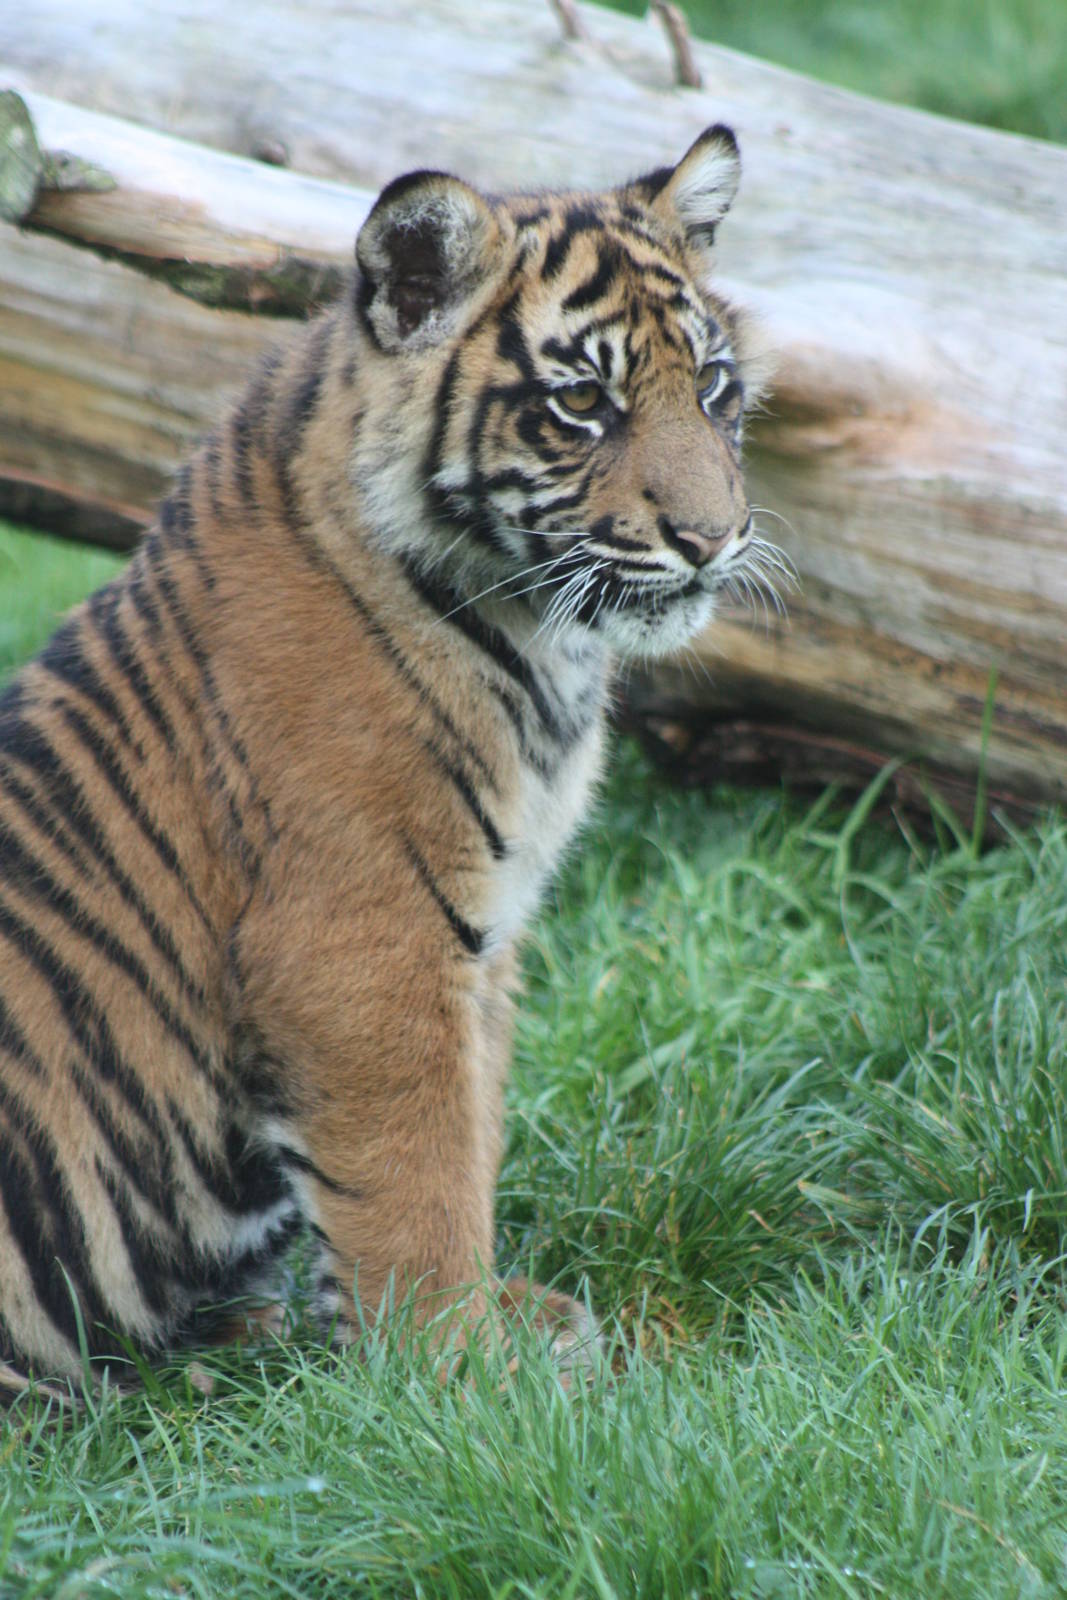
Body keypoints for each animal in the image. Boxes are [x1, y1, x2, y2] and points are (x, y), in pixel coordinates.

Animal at [0, 124, 777, 1402]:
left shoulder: (488, 933)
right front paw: (457, 1374)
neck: (537, 644)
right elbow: (414, 1165)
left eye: (710, 386)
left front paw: (481, 1328)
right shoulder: (361, 935)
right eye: (582, 402)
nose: (711, 540)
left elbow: (470, 1131)